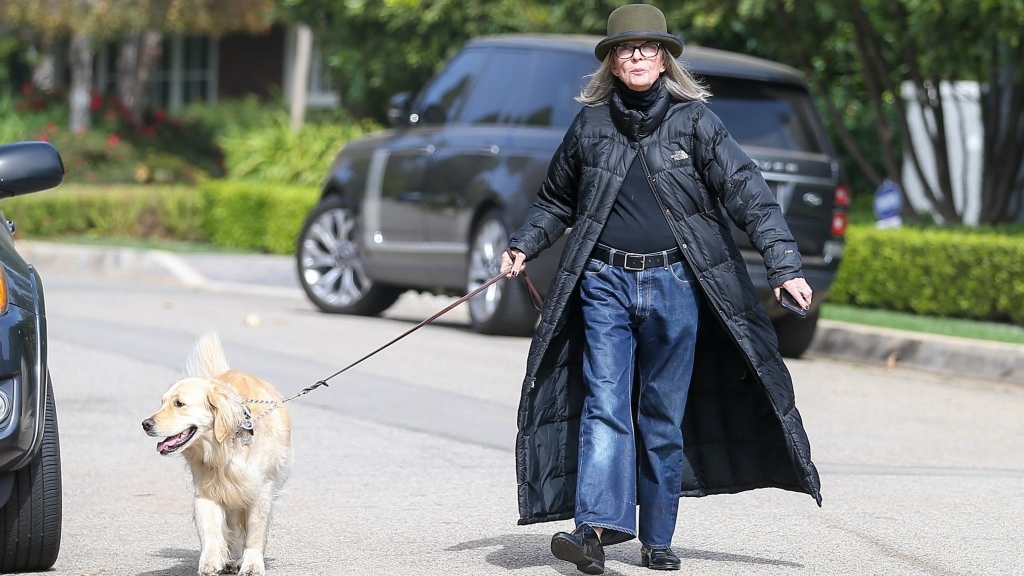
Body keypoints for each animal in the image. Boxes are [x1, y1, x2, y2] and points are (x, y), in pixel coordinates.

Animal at [142, 332, 292, 573]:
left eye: (179, 403)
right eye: (162, 402)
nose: (145, 424)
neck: (225, 448)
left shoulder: (260, 491)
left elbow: (255, 532)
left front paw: (252, 564)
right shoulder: (208, 491)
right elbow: (211, 531)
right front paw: (211, 562)